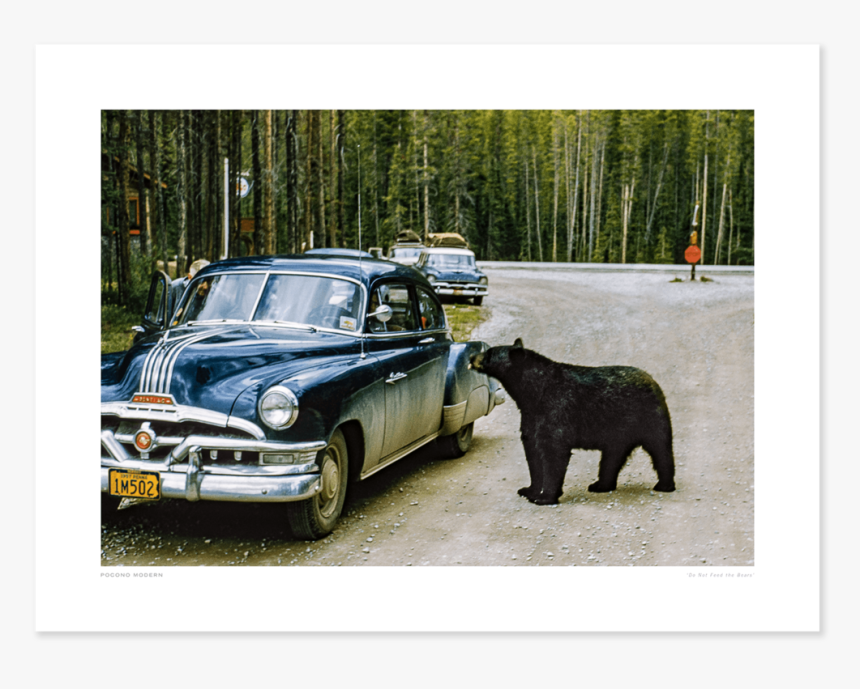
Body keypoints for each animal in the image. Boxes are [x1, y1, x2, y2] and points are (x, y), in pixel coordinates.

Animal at [470, 338, 675, 505]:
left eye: (488, 353)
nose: (471, 357)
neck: (533, 393)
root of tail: (653, 381)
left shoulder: (556, 409)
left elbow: (553, 450)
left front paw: (545, 497)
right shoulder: (531, 416)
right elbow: (532, 451)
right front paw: (529, 490)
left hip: (648, 417)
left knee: (660, 449)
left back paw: (664, 485)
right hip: (618, 432)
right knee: (612, 456)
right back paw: (600, 485)